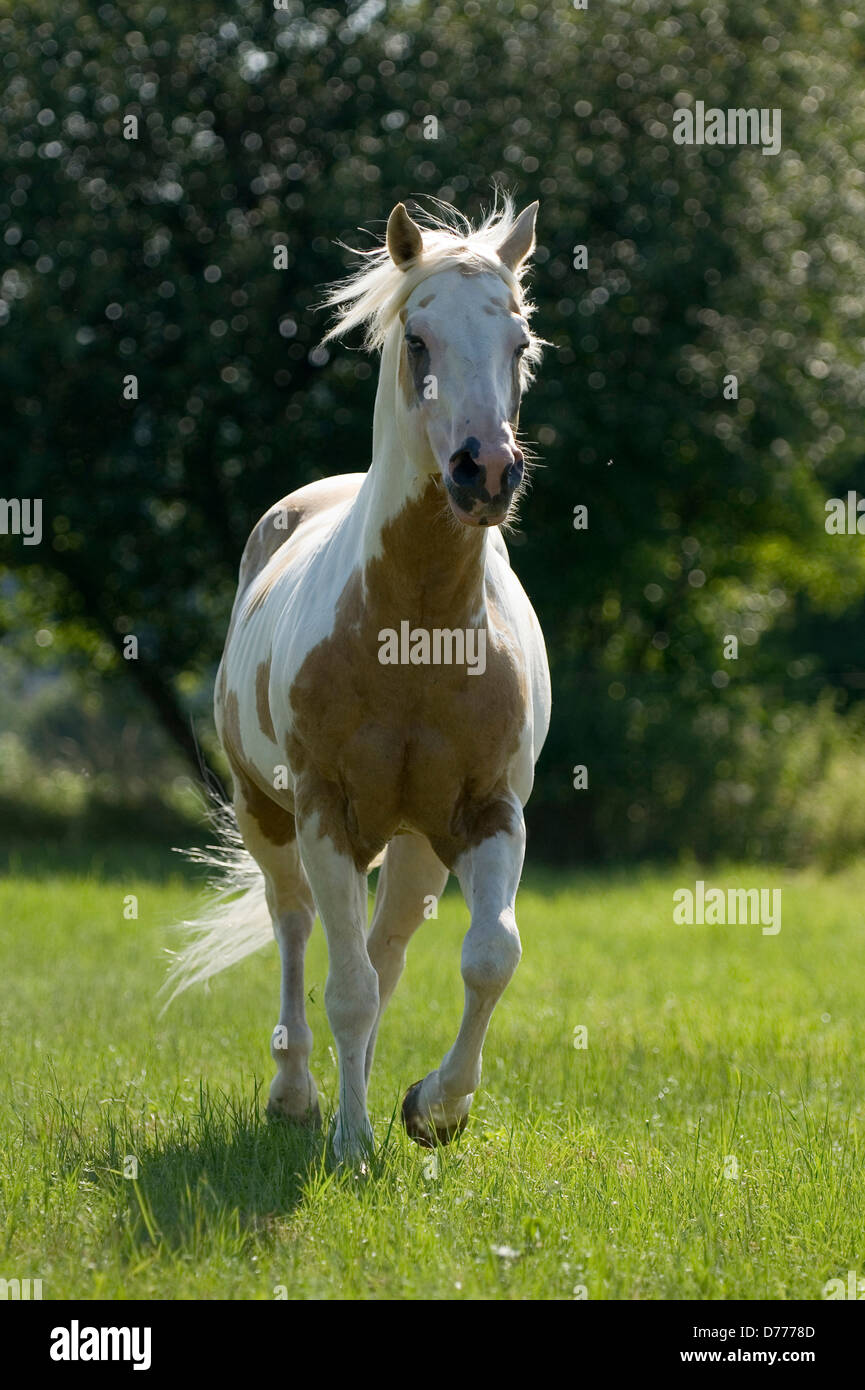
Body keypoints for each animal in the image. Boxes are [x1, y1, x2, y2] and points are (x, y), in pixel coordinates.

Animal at [168, 198, 551, 1163]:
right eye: (417, 340)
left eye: (520, 341)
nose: (485, 470)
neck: (413, 632)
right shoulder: (324, 813)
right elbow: (340, 987)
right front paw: (348, 1143)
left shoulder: (488, 812)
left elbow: (489, 957)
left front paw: (431, 1109)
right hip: (271, 820)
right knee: (299, 933)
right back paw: (298, 1099)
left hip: (415, 844)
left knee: (387, 951)